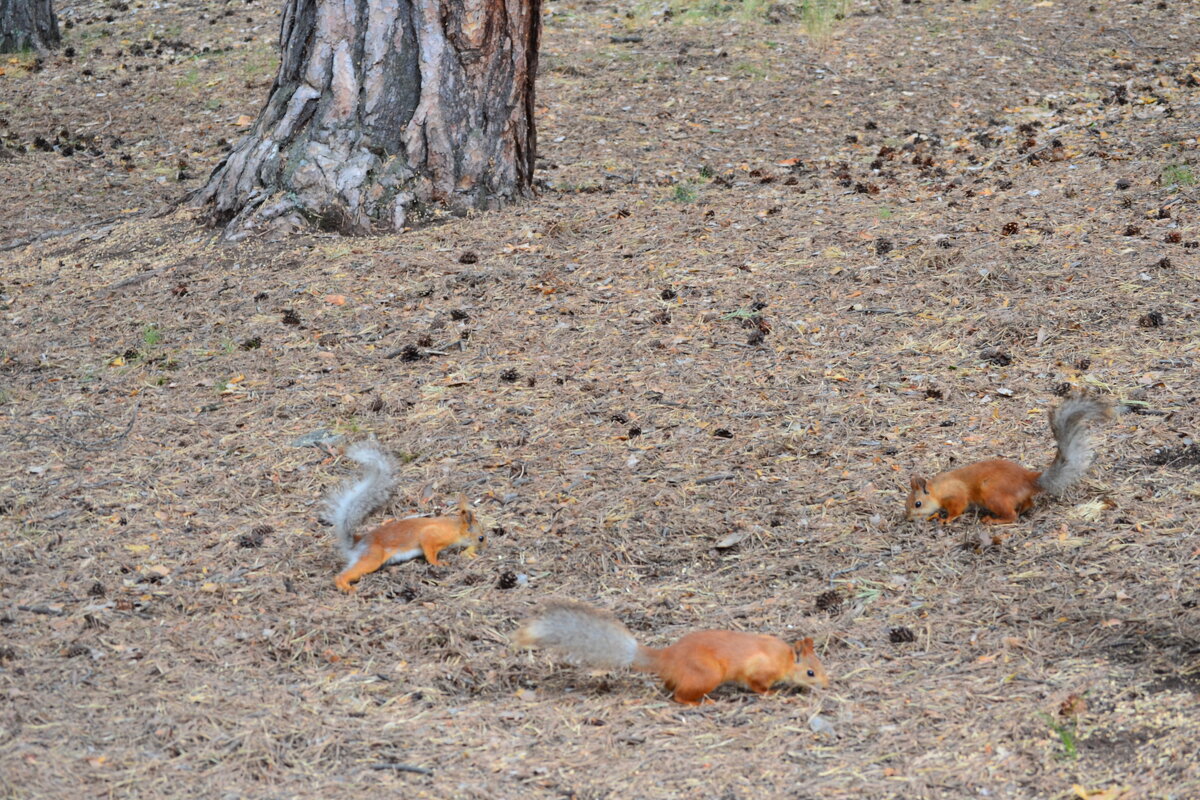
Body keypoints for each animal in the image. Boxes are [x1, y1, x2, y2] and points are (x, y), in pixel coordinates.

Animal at [328, 443, 487, 594]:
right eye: (481, 538)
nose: (485, 548)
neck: (454, 528)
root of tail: (357, 542)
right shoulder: (430, 535)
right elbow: (430, 553)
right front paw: (438, 563)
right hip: (372, 558)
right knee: (343, 574)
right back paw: (346, 587)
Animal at [511, 599, 830, 705]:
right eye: (810, 672)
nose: (827, 685)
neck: (784, 659)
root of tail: (667, 658)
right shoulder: (757, 670)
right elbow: (757, 685)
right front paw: (773, 693)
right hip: (707, 675)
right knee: (679, 696)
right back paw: (700, 703)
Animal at [907, 393, 1113, 525]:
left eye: (918, 503)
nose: (907, 517)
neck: (938, 488)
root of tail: (1029, 479)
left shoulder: (956, 495)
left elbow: (958, 508)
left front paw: (946, 518)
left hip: (992, 495)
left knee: (1011, 515)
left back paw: (993, 520)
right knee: (1028, 504)